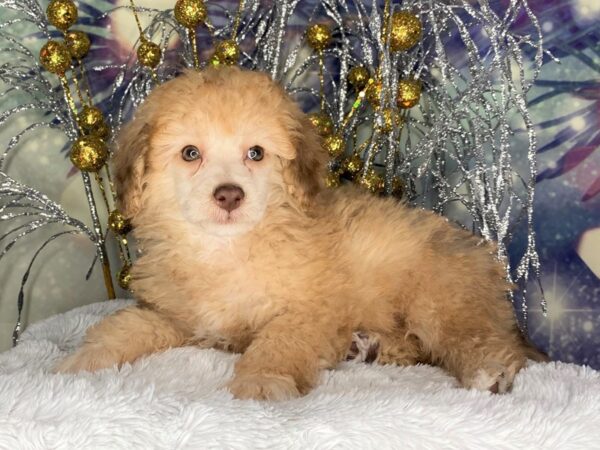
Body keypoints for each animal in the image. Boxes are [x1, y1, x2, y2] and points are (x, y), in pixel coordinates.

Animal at [58, 66, 540, 398]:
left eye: (256, 153)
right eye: (190, 153)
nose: (229, 195)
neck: (226, 250)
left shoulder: (309, 312)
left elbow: (278, 342)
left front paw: (261, 382)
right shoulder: (175, 317)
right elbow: (126, 326)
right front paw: (81, 361)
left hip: (439, 298)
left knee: (482, 340)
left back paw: (487, 372)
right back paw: (369, 347)